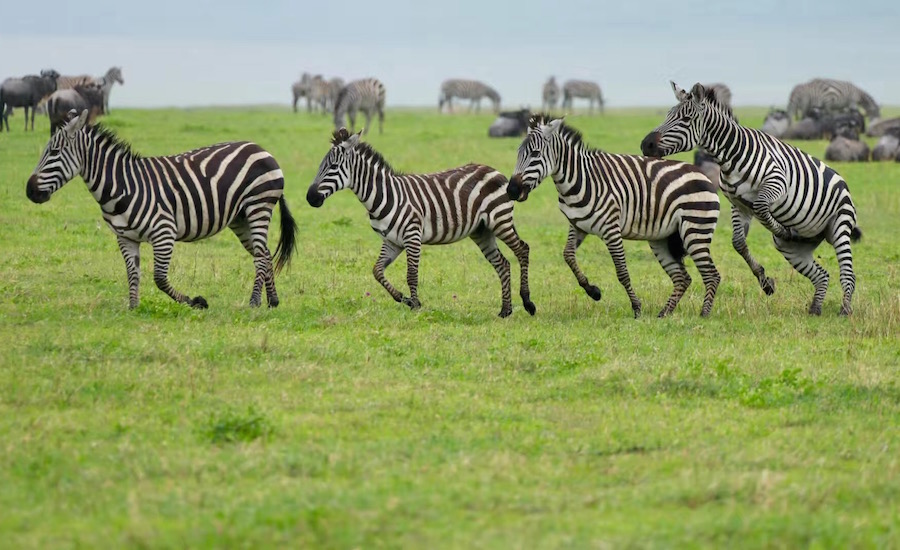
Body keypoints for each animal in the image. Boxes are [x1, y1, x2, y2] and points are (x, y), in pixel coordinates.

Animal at [24, 110, 298, 312]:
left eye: (54, 152)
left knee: (261, 255)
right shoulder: (125, 237)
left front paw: (196, 302)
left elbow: (159, 278)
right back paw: (272, 301)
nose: (29, 191)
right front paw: (133, 308)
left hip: (258, 206)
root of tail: (260, 148)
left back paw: (254, 302)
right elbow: (133, 273)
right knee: (265, 254)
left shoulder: (163, 232)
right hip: (240, 219)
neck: (123, 186)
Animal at [310, 129, 536, 320]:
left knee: (522, 250)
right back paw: (505, 310)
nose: (310, 198)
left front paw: (416, 305)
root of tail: (492, 169)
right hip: (482, 231)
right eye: (321, 165)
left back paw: (527, 303)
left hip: (500, 220)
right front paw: (403, 298)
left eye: (333, 167)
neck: (384, 195)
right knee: (503, 264)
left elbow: (411, 275)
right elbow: (377, 271)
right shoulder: (392, 241)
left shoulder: (412, 235)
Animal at [510, 115, 720, 320]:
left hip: (695, 229)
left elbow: (622, 272)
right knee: (683, 278)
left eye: (535, 154)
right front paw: (593, 291)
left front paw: (636, 308)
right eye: (518, 154)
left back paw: (704, 315)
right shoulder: (577, 226)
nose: (512, 190)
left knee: (712, 274)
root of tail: (701, 173)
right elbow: (568, 256)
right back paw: (664, 314)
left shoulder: (611, 229)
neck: (578, 181)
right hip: (661, 239)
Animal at [640, 81, 864, 314]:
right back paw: (815, 309)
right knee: (822, 275)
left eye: (685, 119)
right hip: (794, 249)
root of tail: (841, 179)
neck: (732, 155)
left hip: (840, 226)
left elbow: (762, 208)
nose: (646, 144)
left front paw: (783, 230)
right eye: (667, 115)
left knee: (848, 274)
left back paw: (845, 310)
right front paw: (765, 281)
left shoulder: (776, 183)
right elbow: (738, 243)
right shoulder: (738, 204)